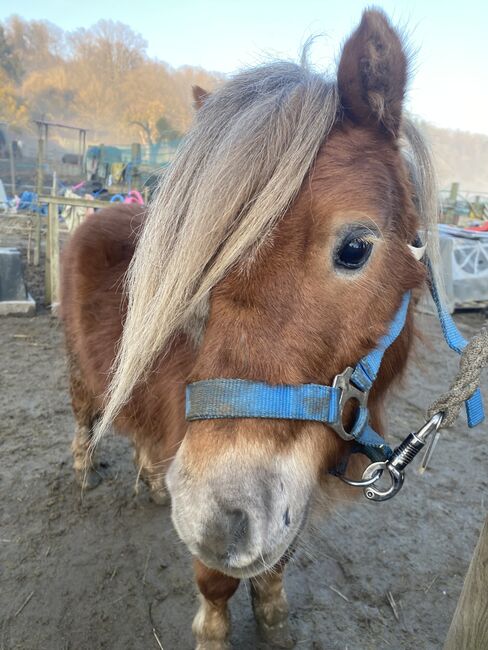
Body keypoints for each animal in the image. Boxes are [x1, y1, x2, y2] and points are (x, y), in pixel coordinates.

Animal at [61, 11, 438, 648]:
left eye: (355, 248)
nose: (217, 514)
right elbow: (216, 581)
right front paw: (215, 632)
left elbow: (274, 564)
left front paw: (275, 619)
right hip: (82, 373)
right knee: (87, 418)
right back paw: (86, 470)